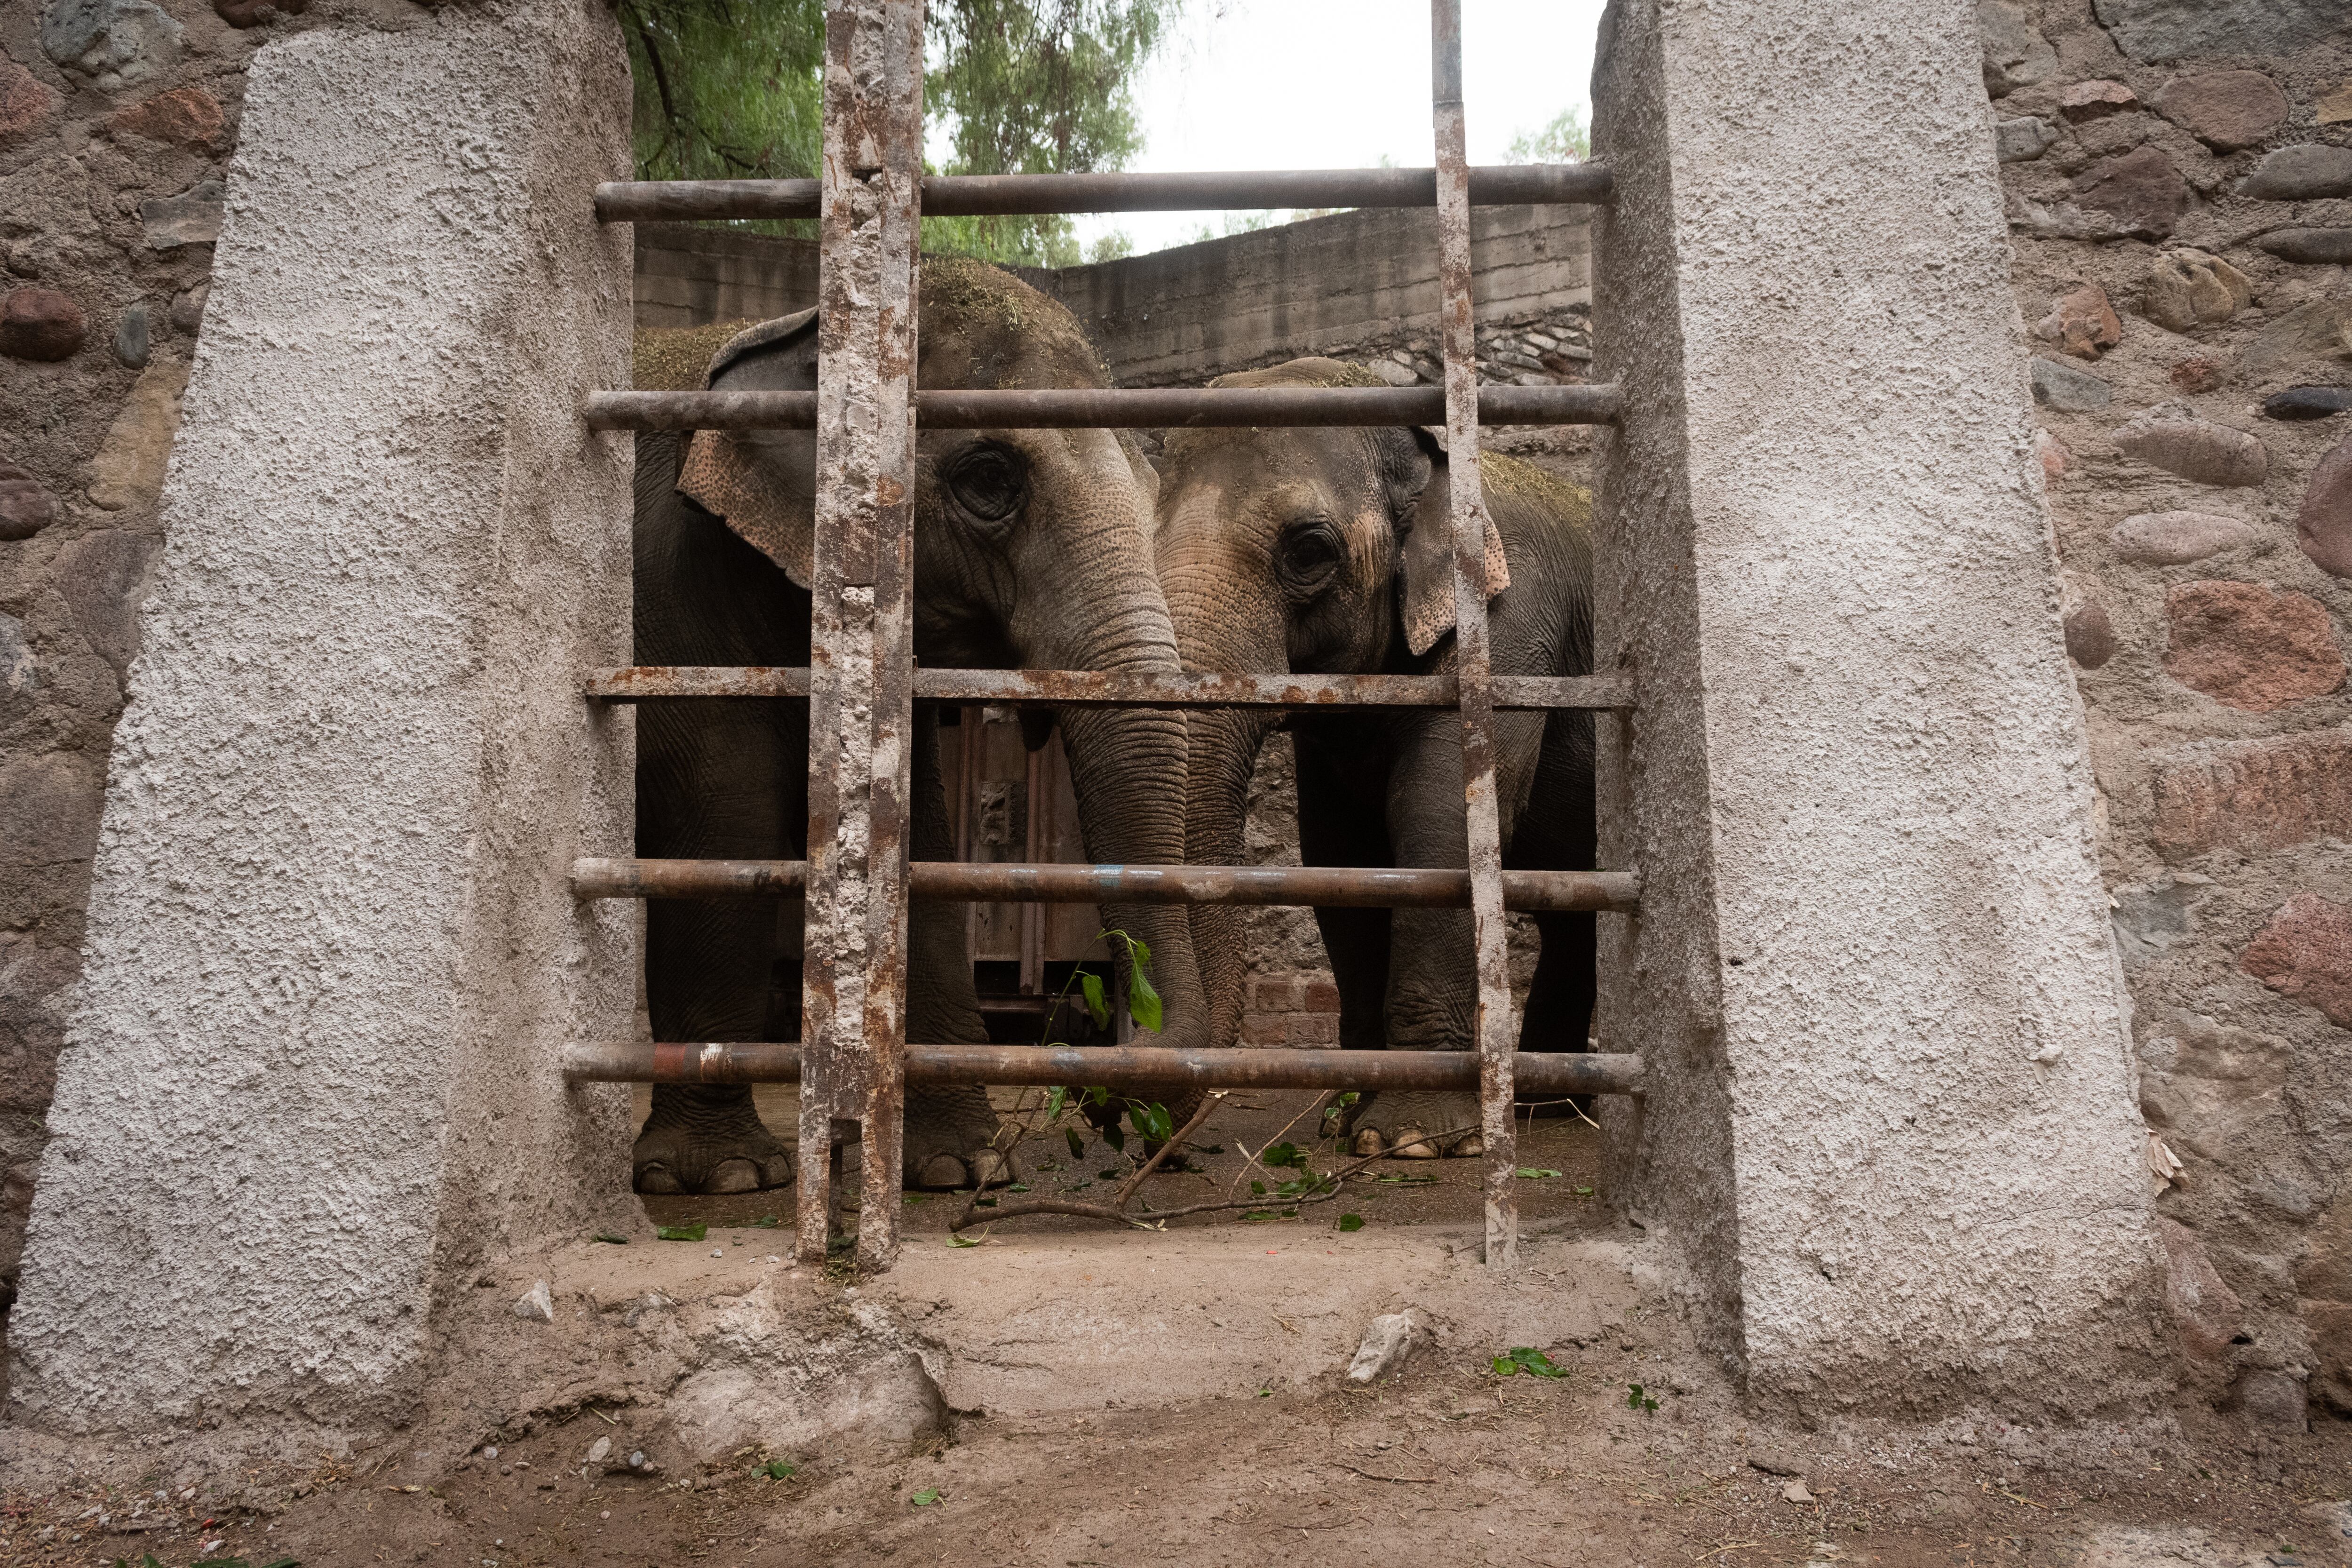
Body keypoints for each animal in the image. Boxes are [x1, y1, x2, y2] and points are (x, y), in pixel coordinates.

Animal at [635, 257, 1204, 1194]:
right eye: (989, 479)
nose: (1112, 1102)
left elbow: (921, 834)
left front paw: (960, 1167)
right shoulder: (679, 591)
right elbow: (726, 811)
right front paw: (723, 1178)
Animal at [1157, 359, 1599, 1166]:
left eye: (1308, 551)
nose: (1170, 1151)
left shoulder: (1509, 628)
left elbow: (1434, 822)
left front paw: (1413, 1139)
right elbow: (1339, 850)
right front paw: (1344, 1121)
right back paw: (1547, 1106)